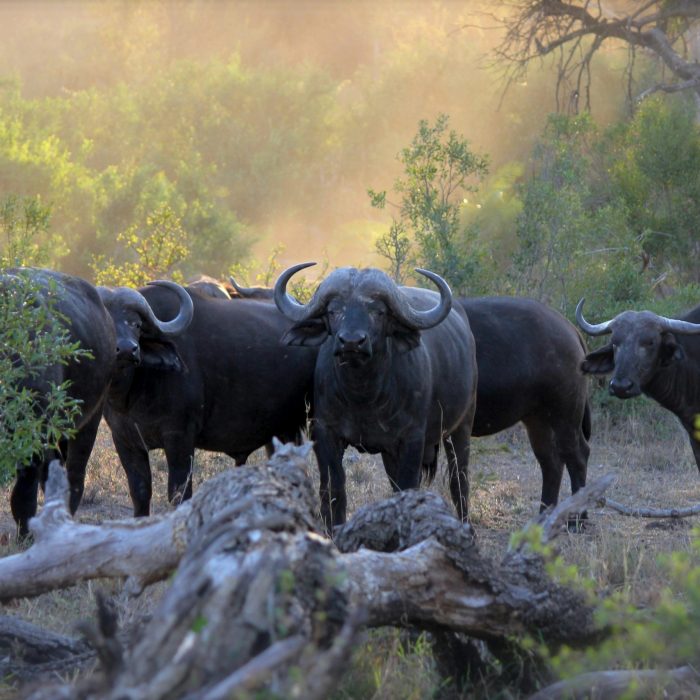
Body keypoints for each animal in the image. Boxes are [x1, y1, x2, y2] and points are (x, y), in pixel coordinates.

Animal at [2, 268, 192, 537]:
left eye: (136, 324)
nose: (126, 350)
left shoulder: (36, 426)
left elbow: (23, 494)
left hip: (86, 421)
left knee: (74, 476)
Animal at [102, 284, 318, 516]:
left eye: (136, 324)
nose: (127, 349)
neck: (131, 393)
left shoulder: (180, 438)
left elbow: (179, 493)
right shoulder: (125, 441)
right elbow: (140, 493)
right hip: (279, 433)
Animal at [274, 263, 477, 529]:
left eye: (378, 312)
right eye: (333, 311)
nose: (351, 342)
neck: (364, 396)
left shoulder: (412, 438)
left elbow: (408, 487)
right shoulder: (326, 433)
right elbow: (333, 489)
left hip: (461, 426)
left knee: (459, 481)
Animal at [460, 297, 591, 513]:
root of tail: (569, 327)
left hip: (566, 415)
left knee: (578, 456)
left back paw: (577, 516)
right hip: (538, 419)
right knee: (552, 462)